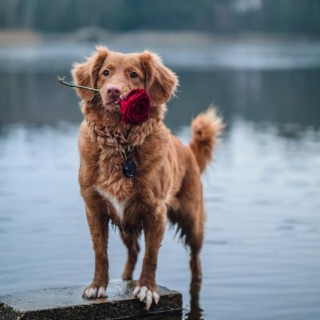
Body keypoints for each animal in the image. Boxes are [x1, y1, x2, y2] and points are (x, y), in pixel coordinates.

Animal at [71, 46, 224, 308]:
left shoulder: (155, 211)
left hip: (192, 221)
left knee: (195, 259)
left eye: (133, 75)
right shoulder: (94, 207)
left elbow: (151, 256)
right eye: (105, 72)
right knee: (133, 252)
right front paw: (97, 286)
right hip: (126, 224)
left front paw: (147, 289)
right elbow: (100, 252)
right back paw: (124, 278)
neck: (119, 143)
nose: (113, 91)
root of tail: (188, 150)